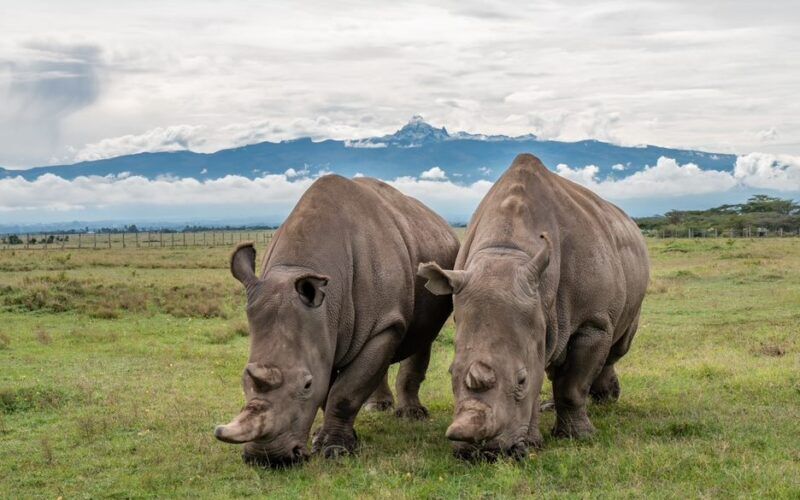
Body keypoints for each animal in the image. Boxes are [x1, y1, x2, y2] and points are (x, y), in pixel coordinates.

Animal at [216, 174, 460, 466]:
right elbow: (331, 387)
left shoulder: (383, 323)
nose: (268, 458)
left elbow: (344, 391)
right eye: (244, 379)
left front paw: (335, 450)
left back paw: (411, 416)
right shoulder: (323, 329)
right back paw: (377, 408)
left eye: (306, 385)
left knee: (423, 338)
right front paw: (324, 438)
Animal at [418, 153, 648, 458]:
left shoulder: (593, 321)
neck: (507, 252)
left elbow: (572, 385)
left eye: (521, 380)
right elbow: (542, 369)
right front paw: (532, 443)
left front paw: (579, 436)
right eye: (451, 374)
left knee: (617, 347)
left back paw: (605, 400)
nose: (480, 452)